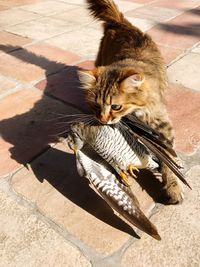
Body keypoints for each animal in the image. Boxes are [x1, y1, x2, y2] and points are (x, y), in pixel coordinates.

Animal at [77, 0, 184, 204]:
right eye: (96, 106)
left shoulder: (160, 123)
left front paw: (173, 186)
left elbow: (168, 158)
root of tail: (121, 23)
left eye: (116, 107)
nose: (103, 120)